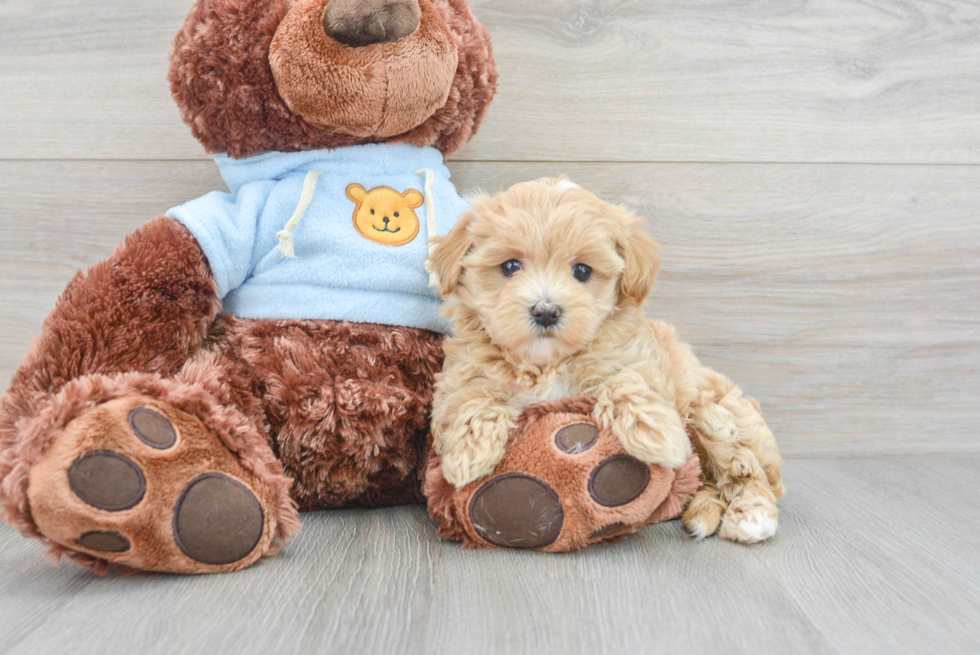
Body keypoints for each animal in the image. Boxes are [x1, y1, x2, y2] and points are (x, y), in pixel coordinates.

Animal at [432, 178, 784, 544]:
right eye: (510, 266)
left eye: (582, 271)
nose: (546, 311)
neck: (546, 362)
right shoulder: (457, 381)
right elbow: (472, 401)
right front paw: (468, 456)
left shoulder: (636, 360)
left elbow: (626, 380)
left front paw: (658, 435)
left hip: (714, 412)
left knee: (748, 472)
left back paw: (752, 516)